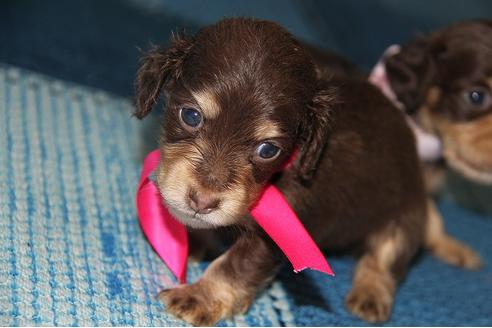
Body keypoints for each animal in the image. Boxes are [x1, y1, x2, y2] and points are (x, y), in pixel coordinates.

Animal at [135, 18, 426, 326]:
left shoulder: (276, 236)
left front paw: (198, 296)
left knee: (384, 258)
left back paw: (370, 294)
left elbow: (233, 266)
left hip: (406, 218)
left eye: (268, 150)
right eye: (190, 116)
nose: (202, 202)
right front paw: (192, 241)